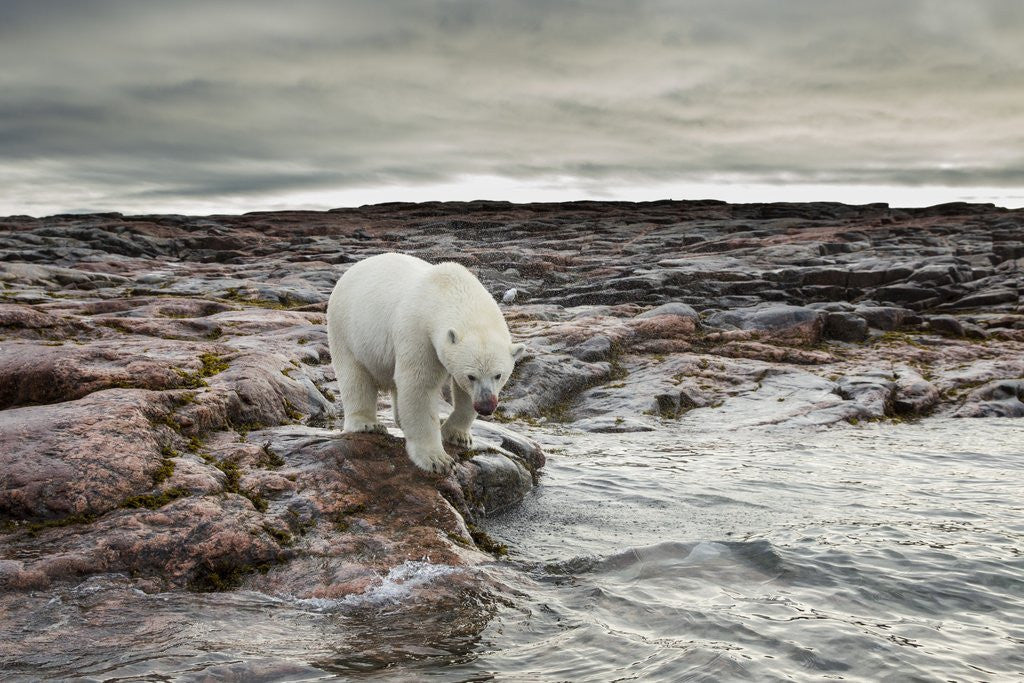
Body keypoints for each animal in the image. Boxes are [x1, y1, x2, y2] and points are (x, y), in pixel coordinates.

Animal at [326, 252, 526, 473]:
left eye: (498, 375)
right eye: (471, 376)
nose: (485, 406)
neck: (449, 290)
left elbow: (461, 394)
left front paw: (458, 435)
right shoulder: (419, 333)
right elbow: (419, 386)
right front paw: (437, 459)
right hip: (346, 329)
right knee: (355, 376)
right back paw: (367, 424)